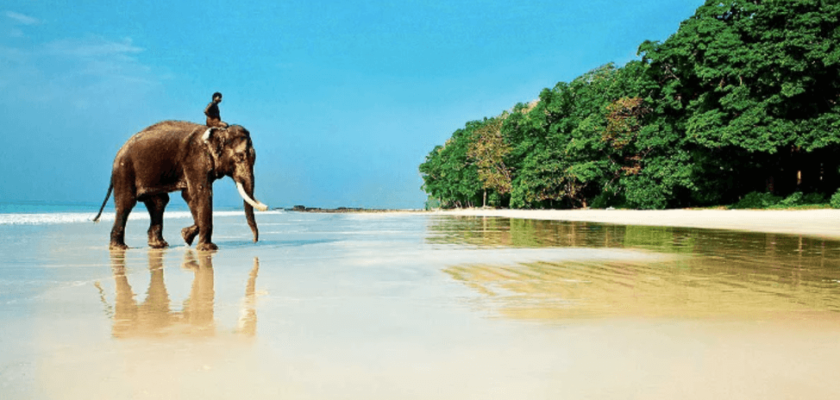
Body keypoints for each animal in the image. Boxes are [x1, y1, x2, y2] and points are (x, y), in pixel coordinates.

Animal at [93, 121, 268, 250]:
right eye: (240, 157)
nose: (254, 241)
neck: (218, 132)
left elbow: (190, 196)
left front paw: (186, 236)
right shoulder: (195, 160)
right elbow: (201, 193)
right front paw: (207, 248)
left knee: (159, 202)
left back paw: (159, 245)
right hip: (124, 171)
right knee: (126, 203)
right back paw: (120, 247)